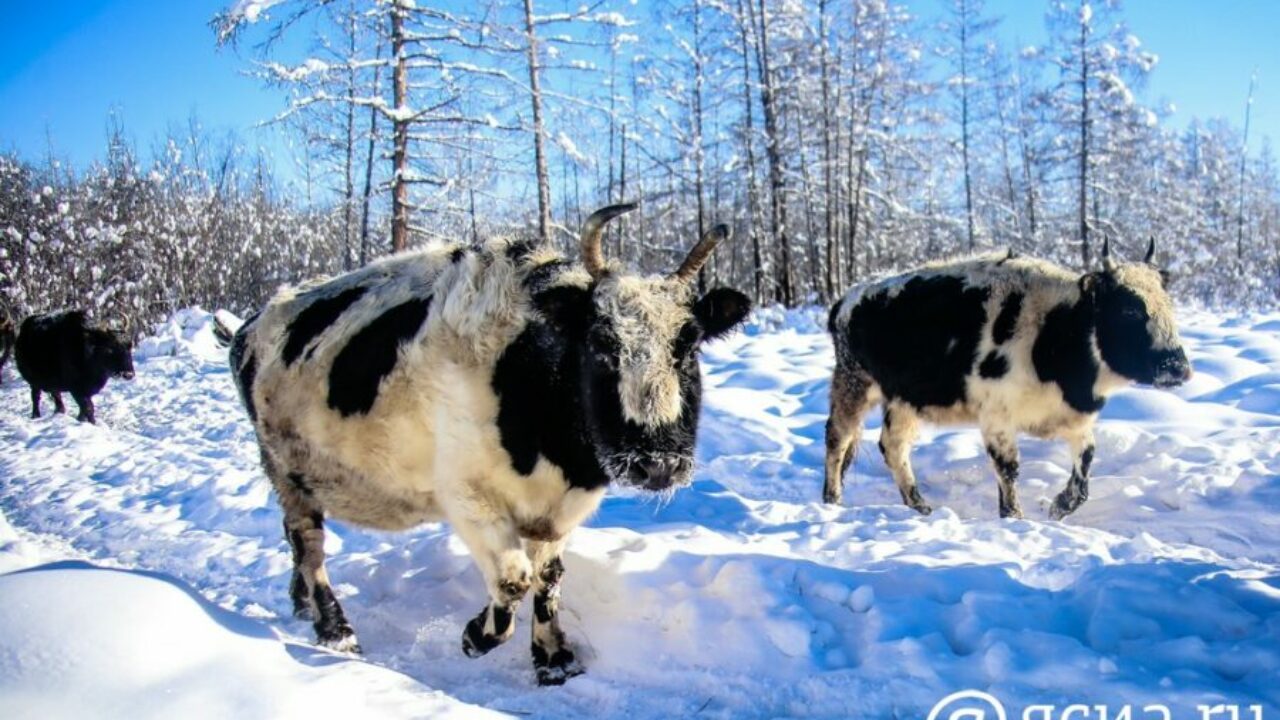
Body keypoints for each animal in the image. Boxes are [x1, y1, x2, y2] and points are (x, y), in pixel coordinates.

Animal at [230, 203, 747, 681]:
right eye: (601, 343)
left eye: (689, 345)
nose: (658, 464)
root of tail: (251, 324)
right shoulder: (467, 496)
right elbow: (514, 580)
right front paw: (475, 635)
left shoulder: (560, 508)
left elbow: (549, 578)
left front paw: (553, 658)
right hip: (285, 467)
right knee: (308, 542)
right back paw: (335, 629)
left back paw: (302, 605)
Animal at [824, 238, 1192, 517]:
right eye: (1129, 309)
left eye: (1168, 305)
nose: (1178, 367)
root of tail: (845, 300)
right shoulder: (996, 416)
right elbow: (1009, 468)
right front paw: (1014, 516)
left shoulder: (1073, 418)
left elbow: (1086, 463)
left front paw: (1060, 505)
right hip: (854, 384)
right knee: (838, 438)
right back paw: (832, 501)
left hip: (902, 399)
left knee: (893, 446)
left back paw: (920, 506)